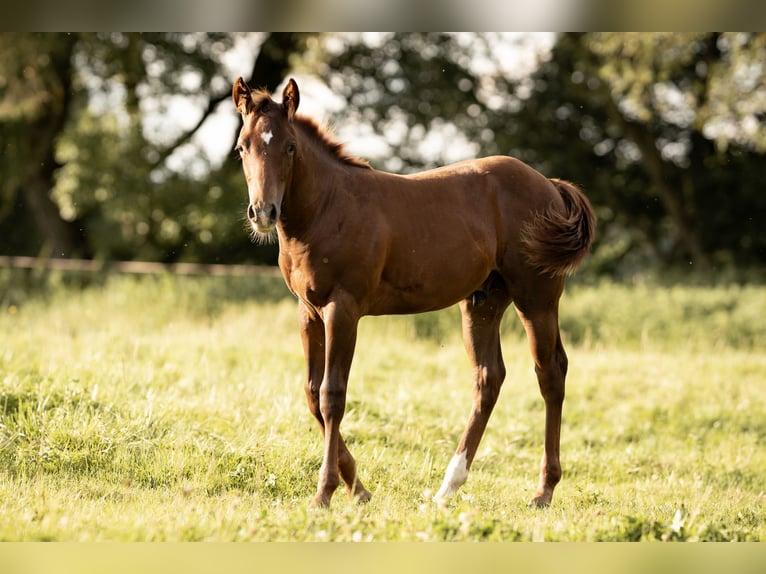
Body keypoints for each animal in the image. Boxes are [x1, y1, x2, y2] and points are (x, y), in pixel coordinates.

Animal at [231, 75, 596, 508]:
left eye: (289, 146)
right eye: (242, 147)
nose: (263, 212)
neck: (327, 208)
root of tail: (551, 186)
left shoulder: (343, 308)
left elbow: (332, 395)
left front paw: (325, 493)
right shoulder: (308, 311)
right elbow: (310, 393)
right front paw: (359, 488)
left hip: (536, 298)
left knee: (550, 373)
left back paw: (543, 491)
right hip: (484, 302)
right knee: (489, 378)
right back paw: (447, 487)